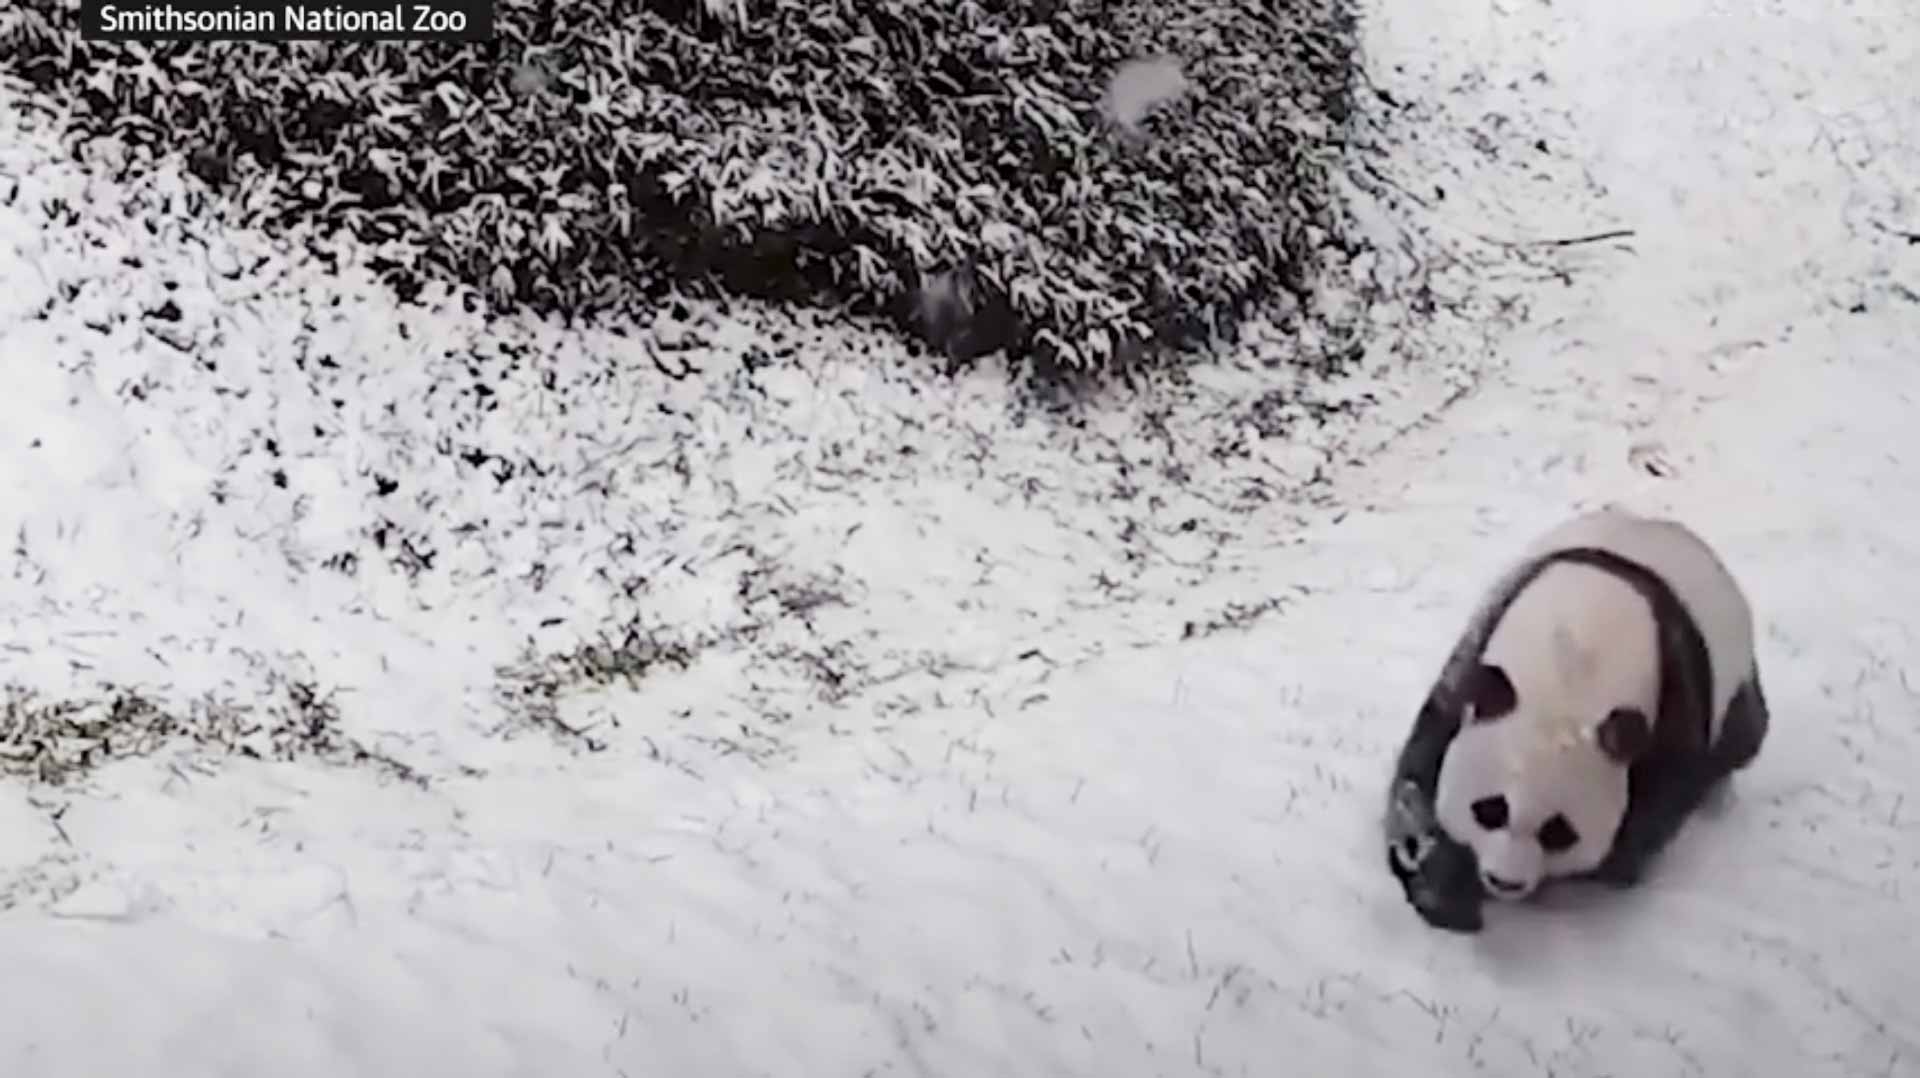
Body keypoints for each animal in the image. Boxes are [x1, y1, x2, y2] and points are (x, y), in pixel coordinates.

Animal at [1385, 507, 1771, 930]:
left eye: (1558, 832)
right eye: (1489, 809)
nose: (1505, 882)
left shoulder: (1676, 690)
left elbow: (1656, 802)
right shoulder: (1477, 655)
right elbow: (1420, 774)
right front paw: (1438, 880)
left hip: (1734, 683)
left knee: (1743, 738)